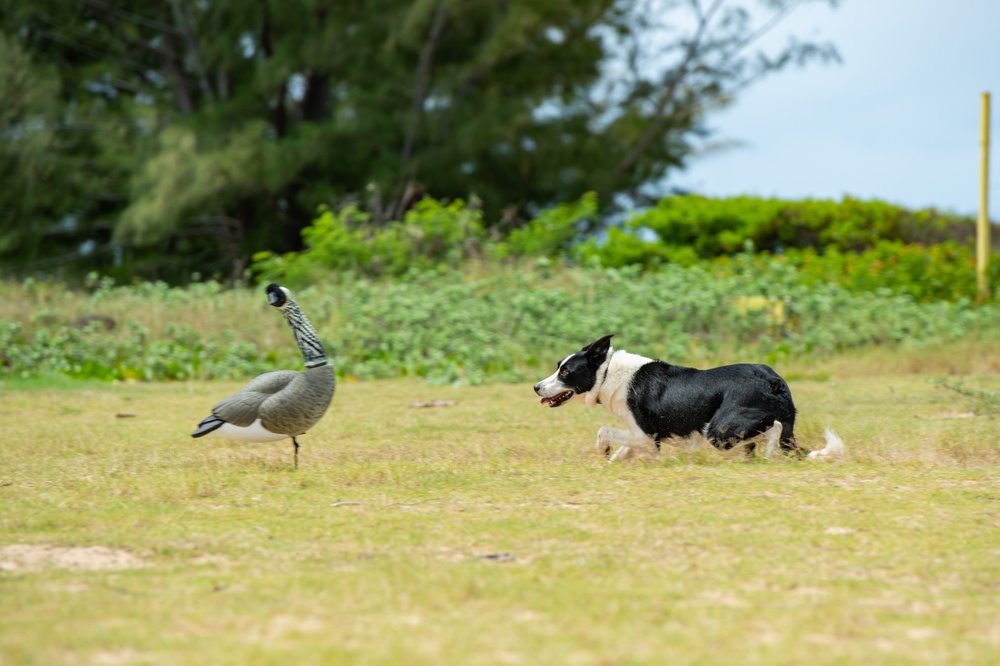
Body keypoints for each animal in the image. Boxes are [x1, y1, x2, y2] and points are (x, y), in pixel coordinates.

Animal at [532, 334, 844, 460]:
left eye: (565, 372)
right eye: (558, 366)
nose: (536, 387)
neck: (607, 372)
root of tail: (773, 379)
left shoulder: (645, 433)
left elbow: (603, 431)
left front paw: (603, 451)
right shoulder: (640, 436)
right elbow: (624, 449)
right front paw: (614, 459)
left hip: (719, 430)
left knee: (774, 429)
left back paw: (769, 455)